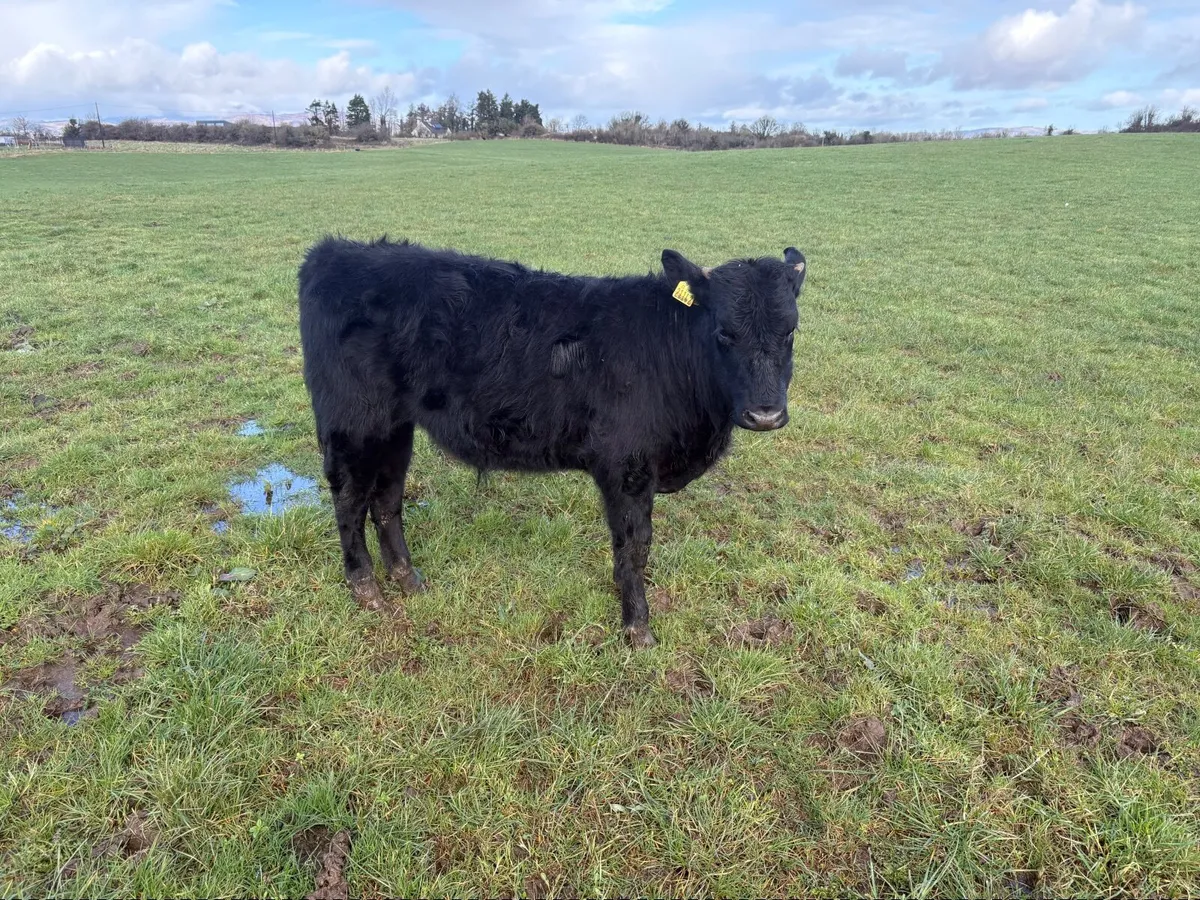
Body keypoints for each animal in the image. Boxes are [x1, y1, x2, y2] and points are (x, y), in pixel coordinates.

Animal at [297, 237, 807, 648]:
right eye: (724, 332)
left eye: (791, 331)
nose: (765, 414)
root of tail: (336, 251)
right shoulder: (627, 468)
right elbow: (634, 546)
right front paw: (637, 628)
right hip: (353, 422)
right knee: (349, 501)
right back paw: (366, 589)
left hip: (395, 428)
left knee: (387, 499)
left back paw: (408, 579)